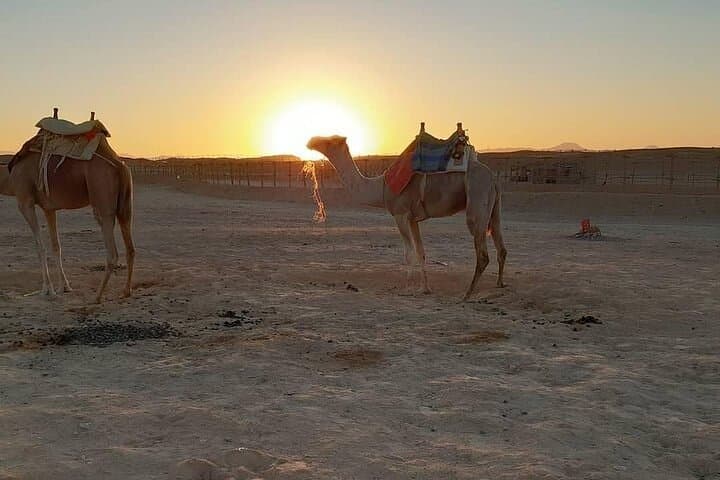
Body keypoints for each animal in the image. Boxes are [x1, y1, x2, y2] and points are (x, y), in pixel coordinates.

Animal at [1, 111, 135, 303]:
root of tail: (118, 164)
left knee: (112, 253)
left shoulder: (24, 201)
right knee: (130, 248)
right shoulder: (48, 207)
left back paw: (97, 296)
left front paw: (47, 289)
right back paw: (126, 291)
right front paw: (63, 287)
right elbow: (56, 246)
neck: (9, 178)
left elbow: (39, 246)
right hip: (125, 205)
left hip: (103, 200)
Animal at [307, 130, 507, 300]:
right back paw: (499, 284)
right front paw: (425, 288)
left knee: (482, 253)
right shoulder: (413, 219)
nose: (311, 141)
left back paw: (468, 293)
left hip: (477, 196)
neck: (381, 187)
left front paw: (407, 289)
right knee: (501, 246)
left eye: (330, 141)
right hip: (494, 208)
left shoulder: (400, 214)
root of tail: (493, 177)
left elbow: (408, 253)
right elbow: (420, 252)